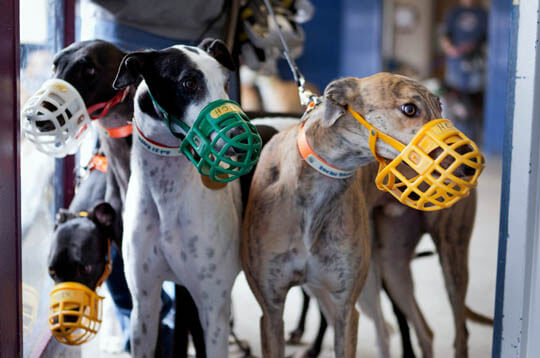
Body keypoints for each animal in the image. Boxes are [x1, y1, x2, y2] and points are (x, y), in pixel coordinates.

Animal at [110, 38, 242, 356]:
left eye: (226, 82)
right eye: (189, 83)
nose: (239, 139)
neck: (166, 194)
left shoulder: (215, 311)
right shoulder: (144, 305)